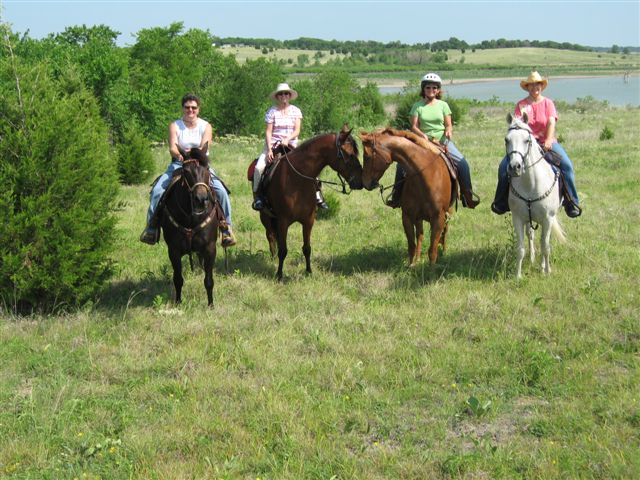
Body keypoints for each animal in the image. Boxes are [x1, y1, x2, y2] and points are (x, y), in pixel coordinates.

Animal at [160, 142, 220, 306]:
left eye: (207, 168)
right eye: (186, 171)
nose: (201, 199)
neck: (192, 217)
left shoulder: (210, 248)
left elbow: (209, 280)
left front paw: (210, 305)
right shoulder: (173, 250)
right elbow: (178, 279)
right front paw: (178, 303)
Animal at [258, 124, 362, 282]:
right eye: (349, 154)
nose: (361, 181)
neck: (296, 180)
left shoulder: (308, 220)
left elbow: (307, 248)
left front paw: (308, 271)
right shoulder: (283, 221)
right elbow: (283, 250)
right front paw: (279, 275)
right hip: (265, 216)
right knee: (270, 236)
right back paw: (273, 258)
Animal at [360, 128, 456, 266]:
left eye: (366, 156)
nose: (365, 183)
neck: (424, 175)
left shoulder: (438, 217)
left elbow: (432, 248)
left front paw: (432, 267)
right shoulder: (407, 216)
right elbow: (412, 245)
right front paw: (411, 265)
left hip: (447, 213)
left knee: (444, 232)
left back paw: (443, 252)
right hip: (419, 217)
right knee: (420, 235)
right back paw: (417, 260)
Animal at [504, 113, 564, 278]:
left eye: (527, 140)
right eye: (507, 140)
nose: (515, 167)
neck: (531, 184)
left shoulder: (548, 219)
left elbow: (545, 246)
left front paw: (547, 271)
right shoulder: (518, 218)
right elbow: (520, 248)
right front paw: (517, 275)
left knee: (544, 241)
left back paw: (542, 265)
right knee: (530, 234)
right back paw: (531, 258)